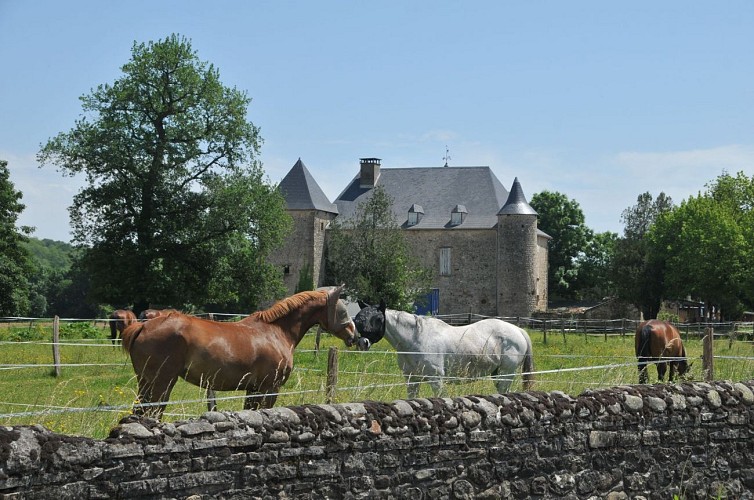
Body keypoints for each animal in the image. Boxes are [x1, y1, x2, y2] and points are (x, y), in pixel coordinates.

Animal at [121, 286, 356, 418]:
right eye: (342, 310)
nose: (354, 336)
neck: (275, 331)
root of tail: (143, 326)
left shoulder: (253, 390)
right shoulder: (269, 389)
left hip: (146, 383)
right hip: (162, 383)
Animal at [354, 300, 536, 398]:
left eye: (378, 319)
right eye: (357, 319)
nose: (363, 342)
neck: (415, 338)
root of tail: (518, 330)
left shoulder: (436, 379)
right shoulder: (411, 379)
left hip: (506, 373)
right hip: (497, 374)